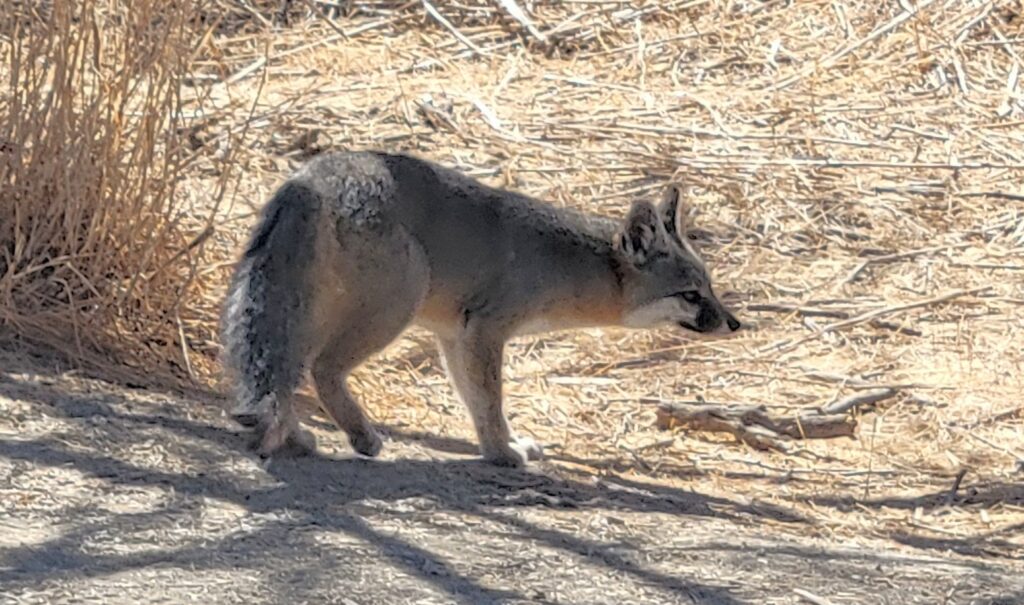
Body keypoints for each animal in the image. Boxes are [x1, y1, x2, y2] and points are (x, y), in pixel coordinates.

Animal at [221, 151, 742, 468]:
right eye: (691, 295)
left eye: (711, 288)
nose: (735, 323)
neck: (565, 262)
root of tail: (311, 176)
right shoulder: (487, 331)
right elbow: (491, 401)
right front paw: (501, 453)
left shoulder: (456, 335)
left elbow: (474, 401)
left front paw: (504, 445)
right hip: (397, 302)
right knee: (322, 368)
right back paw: (360, 436)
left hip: (310, 309)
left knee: (285, 372)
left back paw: (296, 439)